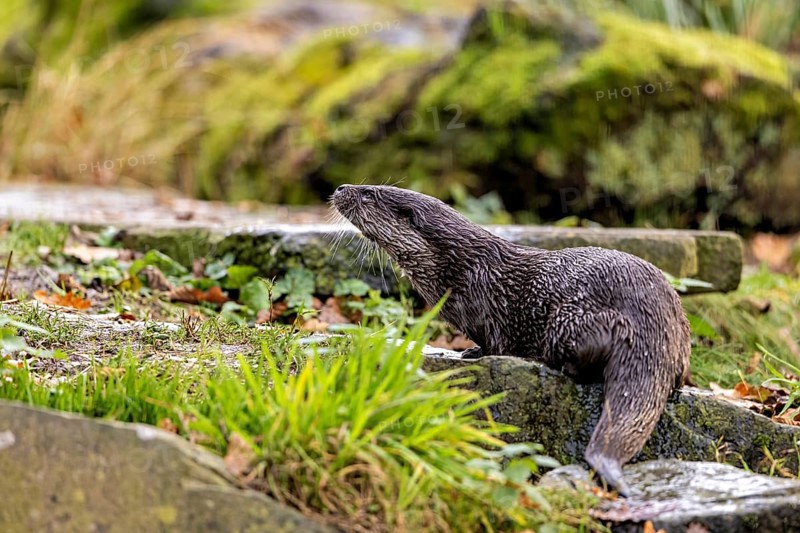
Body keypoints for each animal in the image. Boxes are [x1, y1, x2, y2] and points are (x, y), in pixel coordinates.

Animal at [332, 184, 690, 496]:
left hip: (570, 320)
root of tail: (652, 320)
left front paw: (474, 355)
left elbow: (497, 344)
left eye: (368, 192)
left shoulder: (488, 308)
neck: (460, 268)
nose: (340, 188)